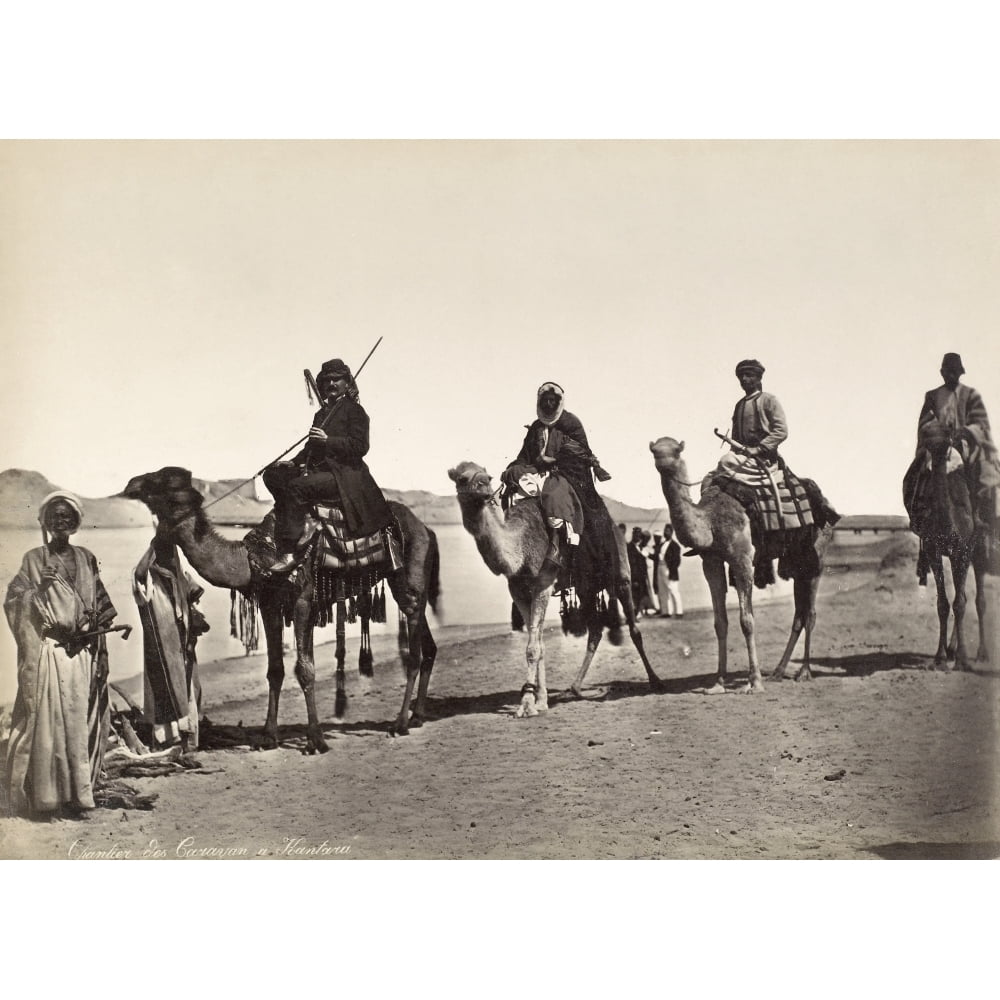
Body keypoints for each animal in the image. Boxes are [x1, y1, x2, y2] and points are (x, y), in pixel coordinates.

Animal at [122, 466, 442, 752]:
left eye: (159, 479)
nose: (130, 483)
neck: (253, 559)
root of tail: (427, 529)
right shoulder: (270, 604)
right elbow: (275, 669)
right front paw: (267, 737)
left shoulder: (302, 599)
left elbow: (305, 669)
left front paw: (316, 740)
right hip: (410, 586)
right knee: (429, 644)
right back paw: (417, 716)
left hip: (408, 577)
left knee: (414, 651)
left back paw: (400, 723)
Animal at [450, 460, 660, 720]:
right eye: (461, 478)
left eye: (487, 478)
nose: (484, 492)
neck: (520, 548)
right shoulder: (518, 591)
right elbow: (538, 644)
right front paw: (541, 701)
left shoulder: (543, 584)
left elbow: (533, 647)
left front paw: (527, 705)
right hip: (585, 586)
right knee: (595, 631)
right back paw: (575, 688)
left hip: (621, 575)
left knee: (633, 628)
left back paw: (656, 681)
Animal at [648, 438, 836, 696]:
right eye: (655, 450)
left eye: (676, 451)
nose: (663, 461)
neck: (710, 522)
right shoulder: (711, 562)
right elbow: (720, 622)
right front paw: (718, 683)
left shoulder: (743, 560)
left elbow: (747, 621)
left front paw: (754, 682)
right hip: (797, 561)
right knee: (799, 613)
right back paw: (778, 671)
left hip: (816, 558)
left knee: (810, 613)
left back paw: (804, 672)